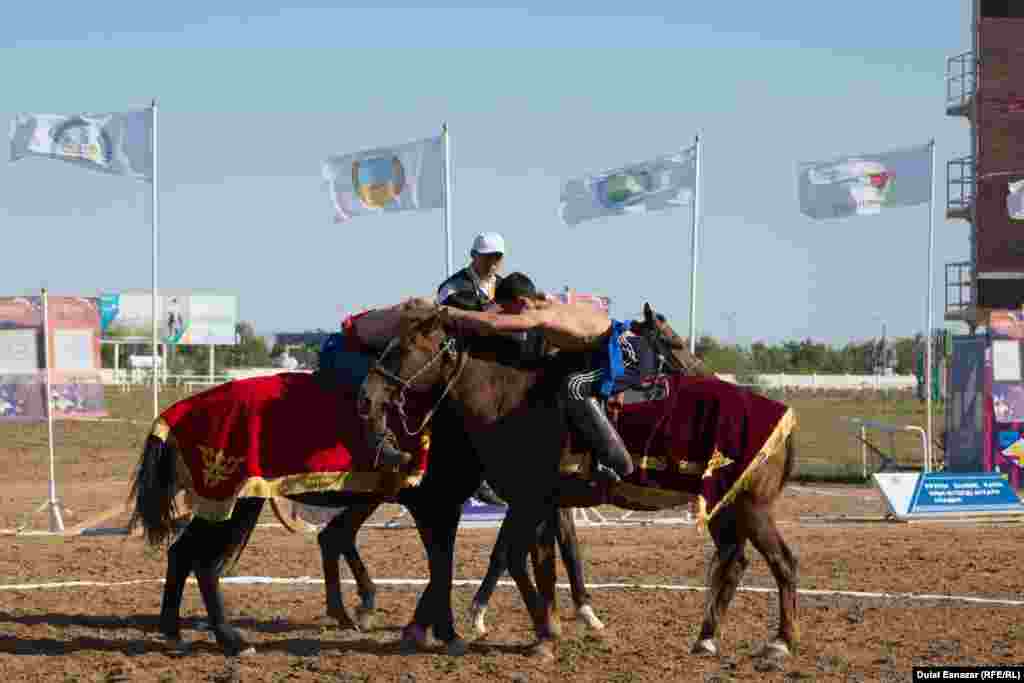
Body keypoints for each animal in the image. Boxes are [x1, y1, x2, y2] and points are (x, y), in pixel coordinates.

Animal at [360, 301, 798, 659]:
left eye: (404, 348)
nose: (367, 396)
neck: (508, 400)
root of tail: (784, 419)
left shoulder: (530, 501)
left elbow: (515, 559)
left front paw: (543, 631)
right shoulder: (539, 505)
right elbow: (538, 563)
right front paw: (545, 631)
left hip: (752, 508)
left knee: (782, 562)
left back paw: (780, 643)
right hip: (725, 508)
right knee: (735, 562)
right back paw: (707, 639)